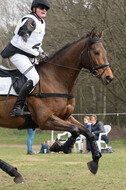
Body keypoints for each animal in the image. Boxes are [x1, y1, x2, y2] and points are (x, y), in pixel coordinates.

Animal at [0, 28, 113, 184]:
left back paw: (14, 173)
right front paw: (57, 147)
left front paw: (94, 161)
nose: (109, 77)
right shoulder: (45, 120)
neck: (56, 78)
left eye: (105, 52)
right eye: (96, 52)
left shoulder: (65, 117)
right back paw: (14, 172)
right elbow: (75, 130)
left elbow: (87, 132)